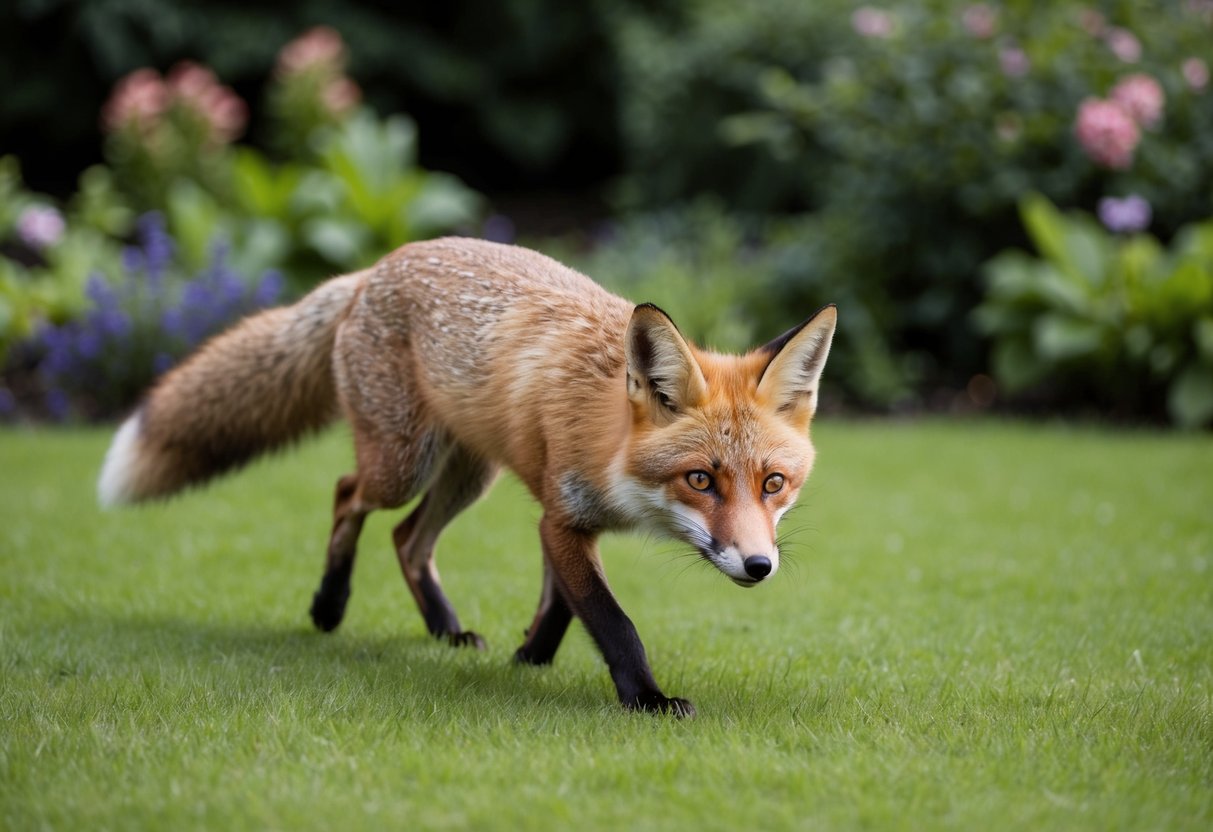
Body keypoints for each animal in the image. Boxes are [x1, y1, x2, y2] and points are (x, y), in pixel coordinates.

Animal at [98, 237, 836, 716]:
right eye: (701, 481)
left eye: (773, 484)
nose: (759, 565)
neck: (612, 452)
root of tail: (373, 269)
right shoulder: (563, 516)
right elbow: (609, 616)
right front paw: (646, 698)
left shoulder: (560, 519)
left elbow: (561, 604)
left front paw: (529, 658)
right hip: (403, 463)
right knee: (346, 495)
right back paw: (329, 603)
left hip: (468, 473)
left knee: (406, 539)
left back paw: (445, 630)